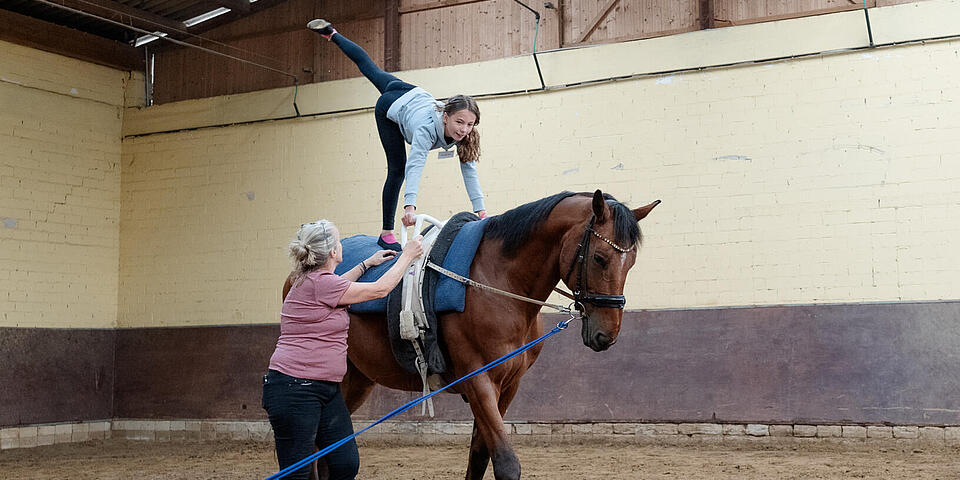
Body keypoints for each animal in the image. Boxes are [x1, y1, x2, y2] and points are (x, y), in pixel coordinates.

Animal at [286, 189, 658, 480]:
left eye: (631, 263)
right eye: (600, 258)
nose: (607, 334)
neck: (497, 284)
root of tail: (299, 273)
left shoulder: (509, 385)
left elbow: (480, 456)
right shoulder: (478, 380)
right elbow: (506, 463)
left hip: (356, 379)